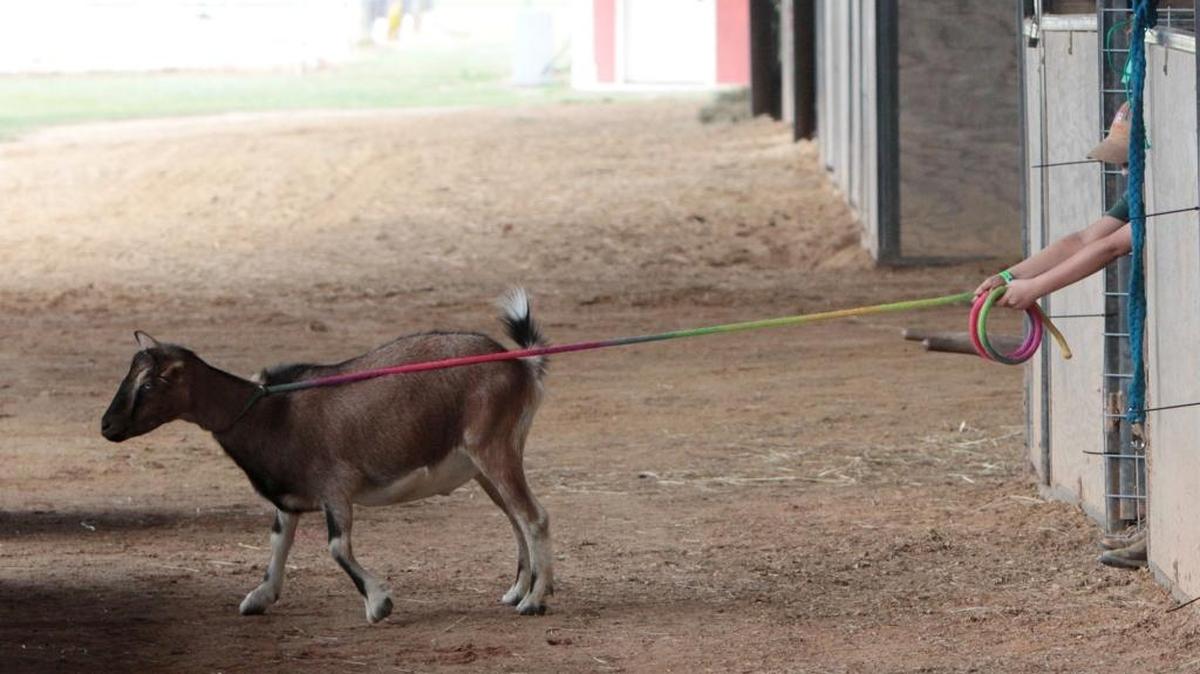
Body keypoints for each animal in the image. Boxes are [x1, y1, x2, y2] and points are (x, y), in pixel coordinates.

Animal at [100, 290, 553, 623]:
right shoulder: (289, 500)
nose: (107, 427)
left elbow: (337, 547)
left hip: (494, 448)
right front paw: (259, 597)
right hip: (482, 466)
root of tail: (521, 366)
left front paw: (379, 603)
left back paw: (534, 601)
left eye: (149, 383)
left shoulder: (335, 487)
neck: (268, 411)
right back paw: (517, 591)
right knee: (515, 519)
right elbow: (278, 542)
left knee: (533, 517)